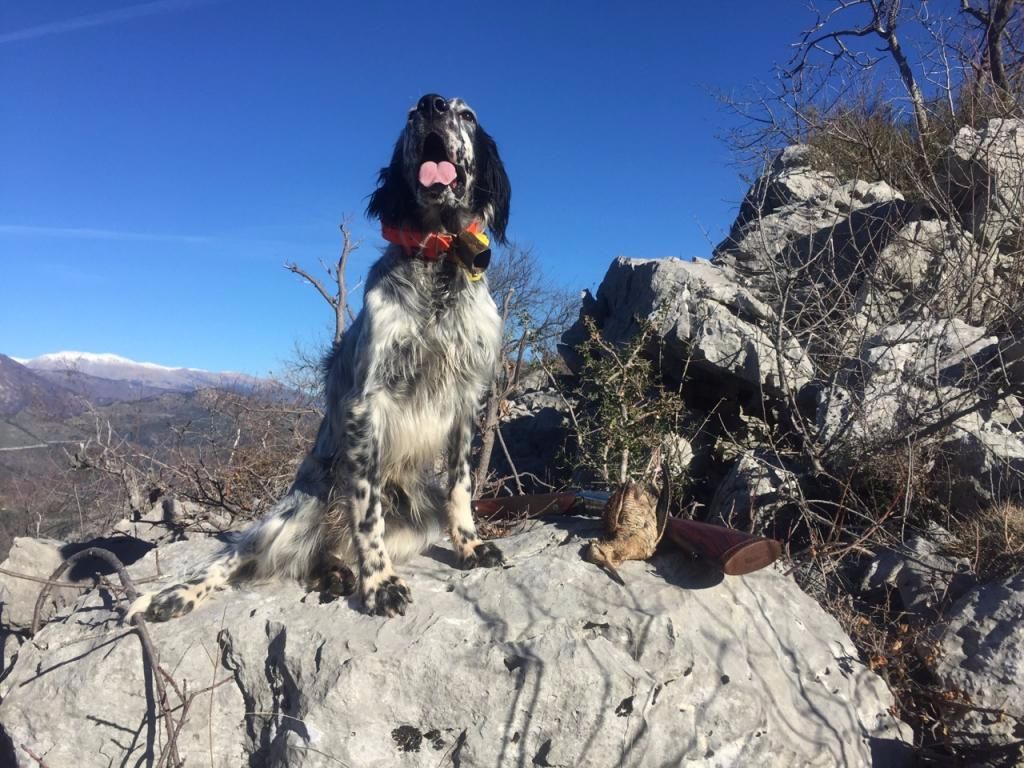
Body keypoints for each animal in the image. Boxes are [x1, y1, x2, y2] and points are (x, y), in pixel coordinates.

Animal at [130, 93, 509, 622]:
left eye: (466, 114)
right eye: (412, 116)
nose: (430, 103)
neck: (438, 260)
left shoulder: (466, 399)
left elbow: (460, 487)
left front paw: (470, 547)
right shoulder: (367, 404)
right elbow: (367, 515)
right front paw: (380, 583)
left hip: (419, 512)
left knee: (325, 551)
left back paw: (335, 573)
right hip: (294, 508)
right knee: (238, 557)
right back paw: (175, 596)